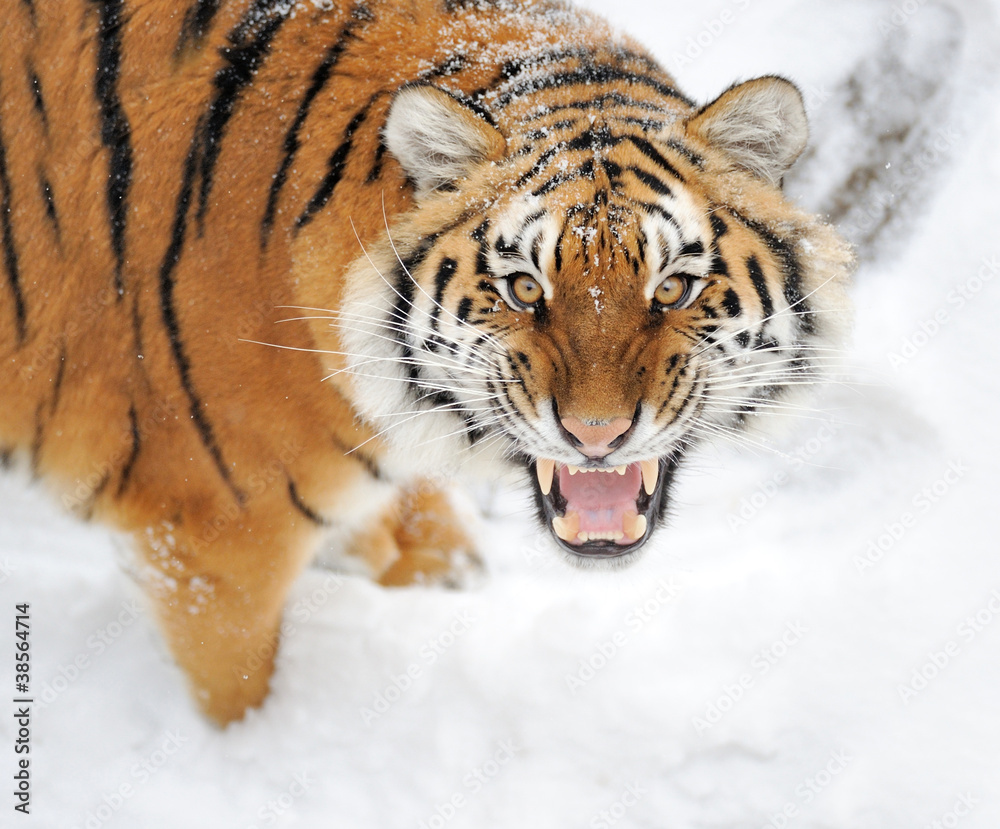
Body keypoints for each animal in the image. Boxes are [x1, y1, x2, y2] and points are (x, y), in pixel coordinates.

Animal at [0, 0, 853, 724]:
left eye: (672, 286)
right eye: (523, 287)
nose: (596, 434)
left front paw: (427, 556)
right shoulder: (206, 540)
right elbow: (240, 690)